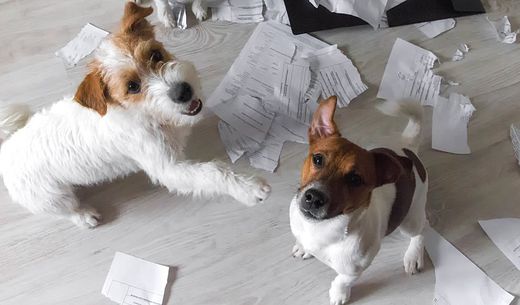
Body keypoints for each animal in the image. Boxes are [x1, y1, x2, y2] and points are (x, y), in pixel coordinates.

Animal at [1, 1, 272, 226]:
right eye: (132, 87)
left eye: (155, 54)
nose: (183, 91)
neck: (144, 113)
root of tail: (5, 149)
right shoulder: (169, 169)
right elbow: (212, 172)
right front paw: (248, 188)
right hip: (51, 197)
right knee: (66, 210)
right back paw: (85, 216)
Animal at [288, 96, 426, 302]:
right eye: (318, 159)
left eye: (355, 179)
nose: (314, 198)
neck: (321, 230)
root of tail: (408, 147)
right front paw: (303, 247)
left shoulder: (354, 270)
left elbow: (342, 280)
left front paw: (339, 294)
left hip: (410, 219)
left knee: (420, 232)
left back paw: (414, 255)